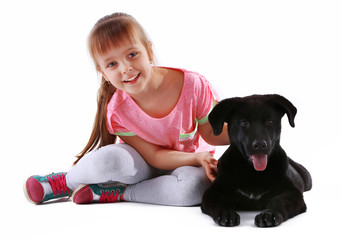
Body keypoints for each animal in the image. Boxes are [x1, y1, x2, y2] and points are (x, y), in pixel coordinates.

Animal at [202, 94, 310, 227]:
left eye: (269, 121)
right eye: (243, 122)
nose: (259, 144)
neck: (253, 172)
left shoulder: (292, 192)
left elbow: (278, 201)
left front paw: (269, 215)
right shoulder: (213, 192)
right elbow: (221, 201)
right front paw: (226, 214)